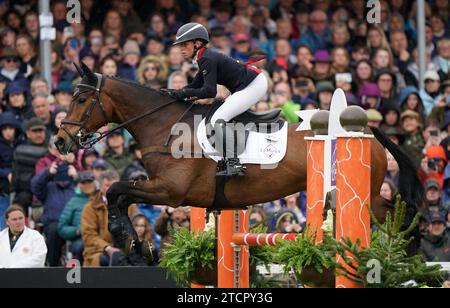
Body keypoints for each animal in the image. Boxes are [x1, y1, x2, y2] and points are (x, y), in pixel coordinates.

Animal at [56, 62, 422, 255]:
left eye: (82, 99)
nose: (59, 141)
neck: (163, 125)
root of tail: (368, 131)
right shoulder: (162, 188)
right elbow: (117, 193)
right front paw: (132, 240)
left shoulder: (170, 191)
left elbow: (116, 190)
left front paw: (126, 238)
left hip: (362, 193)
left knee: (396, 212)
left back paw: (406, 251)